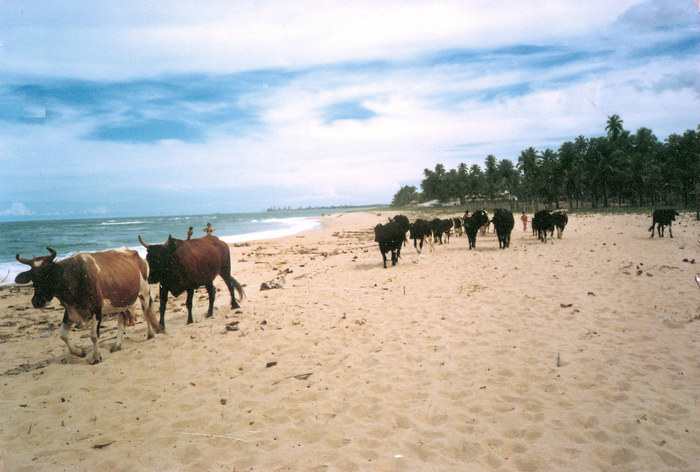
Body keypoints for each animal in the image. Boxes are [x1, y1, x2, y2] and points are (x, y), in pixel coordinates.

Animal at [15, 247, 163, 366]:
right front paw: (79, 352)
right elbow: (63, 334)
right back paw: (116, 345)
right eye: (33, 276)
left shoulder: (97, 309)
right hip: (122, 301)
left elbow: (93, 335)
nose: (38, 301)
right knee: (122, 321)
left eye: (49, 273)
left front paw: (96, 357)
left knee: (147, 312)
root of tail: (134, 253)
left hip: (144, 292)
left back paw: (150, 334)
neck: (74, 277)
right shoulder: (71, 311)